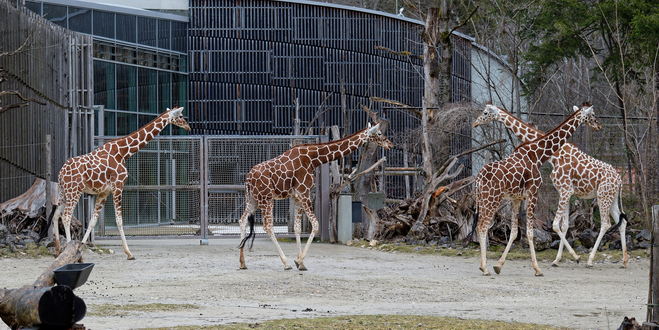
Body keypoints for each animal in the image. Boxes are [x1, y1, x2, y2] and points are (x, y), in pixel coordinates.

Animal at [52, 107, 189, 260]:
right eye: (181, 115)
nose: (188, 127)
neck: (123, 152)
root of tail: (61, 173)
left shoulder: (104, 192)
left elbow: (93, 220)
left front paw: (81, 246)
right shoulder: (118, 186)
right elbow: (119, 220)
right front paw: (129, 253)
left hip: (63, 192)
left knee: (56, 215)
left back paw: (58, 250)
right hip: (74, 191)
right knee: (66, 216)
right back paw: (68, 251)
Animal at [237, 122, 392, 270]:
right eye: (379, 133)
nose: (390, 144)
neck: (314, 159)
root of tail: (248, 179)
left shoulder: (297, 196)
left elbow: (297, 228)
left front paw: (299, 262)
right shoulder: (304, 193)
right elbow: (316, 224)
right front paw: (299, 261)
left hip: (252, 199)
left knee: (242, 220)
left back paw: (242, 262)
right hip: (266, 199)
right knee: (268, 226)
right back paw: (285, 263)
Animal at [474, 103, 628, 268]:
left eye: (485, 112)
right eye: (593, 115)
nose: (598, 125)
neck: (552, 156)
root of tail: (619, 179)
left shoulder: (565, 190)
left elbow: (556, 225)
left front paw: (571, 257)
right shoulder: (564, 192)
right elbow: (563, 226)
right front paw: (560, 259)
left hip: (603, 196)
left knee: (606, 223)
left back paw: (591, 260)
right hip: (609, 197)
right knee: (621, 222)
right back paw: (624, 260)